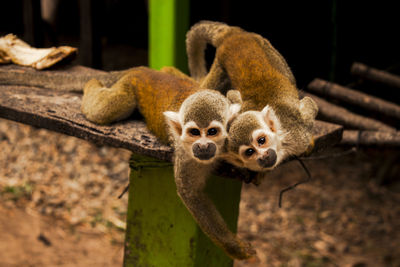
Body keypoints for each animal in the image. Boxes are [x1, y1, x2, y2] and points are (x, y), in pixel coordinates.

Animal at [81, 66, 255, 260]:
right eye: (194, 132)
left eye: (212, 132)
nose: (202, 147)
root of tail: (143, 71)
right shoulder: (186, 154)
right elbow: (191, 193)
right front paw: (234, 247)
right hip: (128, 90)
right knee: (102, 111)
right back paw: (91, 83)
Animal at [185, 20, 318, 172]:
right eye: (249, 152)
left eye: (262, 141)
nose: (264, 156)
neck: (283, 143)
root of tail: (232, 34)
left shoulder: (298, 132)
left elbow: (309, 105)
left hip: (265, 47)